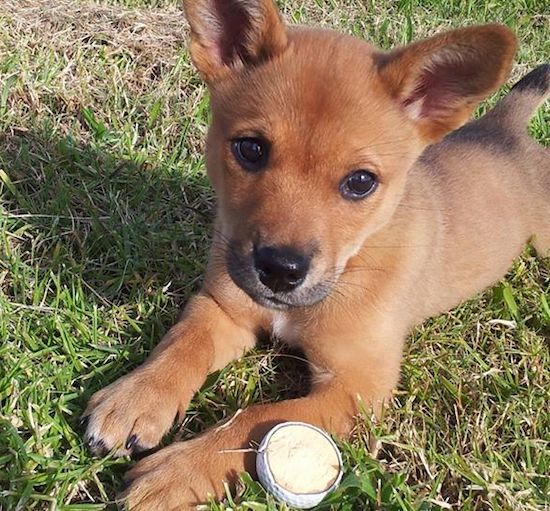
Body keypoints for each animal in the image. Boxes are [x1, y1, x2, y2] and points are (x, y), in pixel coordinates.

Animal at [83, 2, 550, 510]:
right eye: (251, 149)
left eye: (361, 182)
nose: (279, 270)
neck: (353, 265)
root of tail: (503, 128)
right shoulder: (223, 309)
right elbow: (182, 343)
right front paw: (137, 398)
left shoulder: (355, 389)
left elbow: (257, 417)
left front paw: (177, 471)